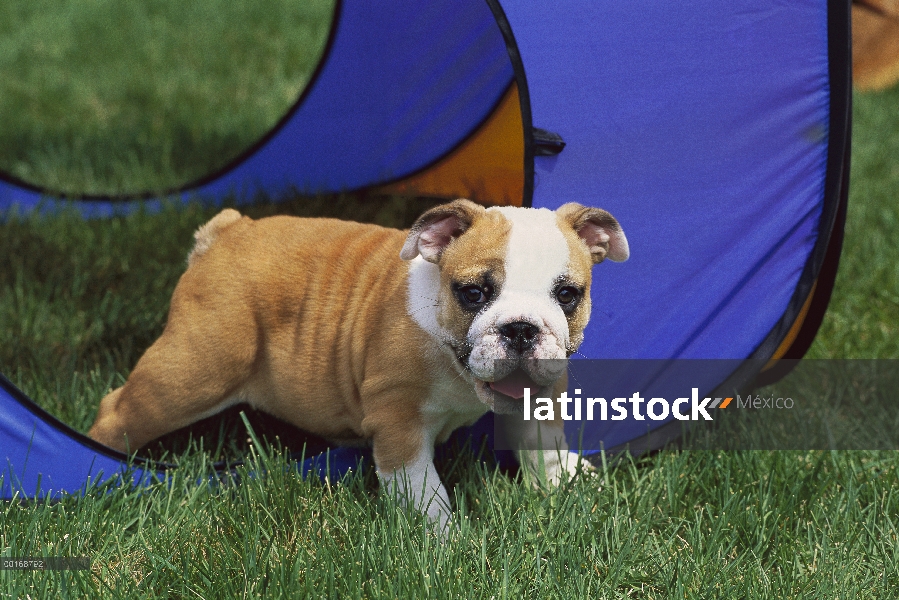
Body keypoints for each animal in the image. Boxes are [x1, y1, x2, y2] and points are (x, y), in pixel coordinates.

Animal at [89, 200, 624, 528]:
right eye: (473, 293)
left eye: (568, 295)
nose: (521, 328)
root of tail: (226, 232)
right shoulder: (398, 423)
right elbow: (424, 491)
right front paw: (445, 541)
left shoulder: (541, 393)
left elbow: (542, 443)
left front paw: (565, 482)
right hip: (196, 370)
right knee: (119, 408)